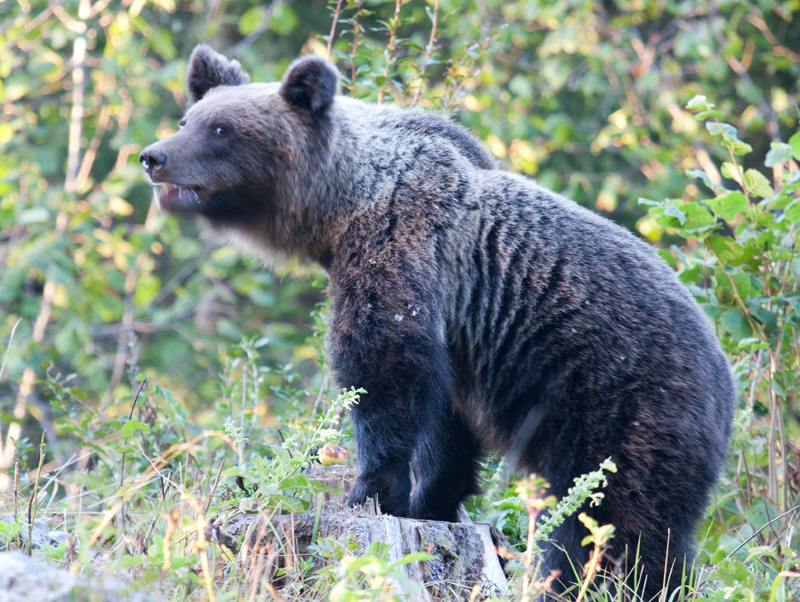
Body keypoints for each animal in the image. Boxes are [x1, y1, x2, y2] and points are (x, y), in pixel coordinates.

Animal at [141, 45, 736, 596]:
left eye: (221, 128)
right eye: (188, 120)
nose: (154, 156)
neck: (338, 211)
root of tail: (725, 377)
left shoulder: (396, 240)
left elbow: (381, 363)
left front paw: (368, 488)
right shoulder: (457, 335)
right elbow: (442, 422)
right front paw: (425, 502)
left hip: (619, 405)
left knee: (610, 524)